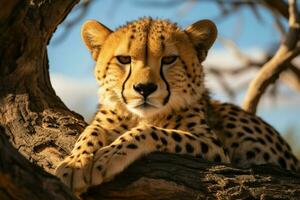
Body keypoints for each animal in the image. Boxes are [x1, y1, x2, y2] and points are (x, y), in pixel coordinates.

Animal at [55, 17, 298, 194]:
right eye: (124, 59)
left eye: (169, 59)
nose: (144, 88)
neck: (142, 115)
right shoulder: (104, 121)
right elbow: (90, 130)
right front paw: (74, 163)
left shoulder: (215, 148)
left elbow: (153, 131)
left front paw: (109, 156)